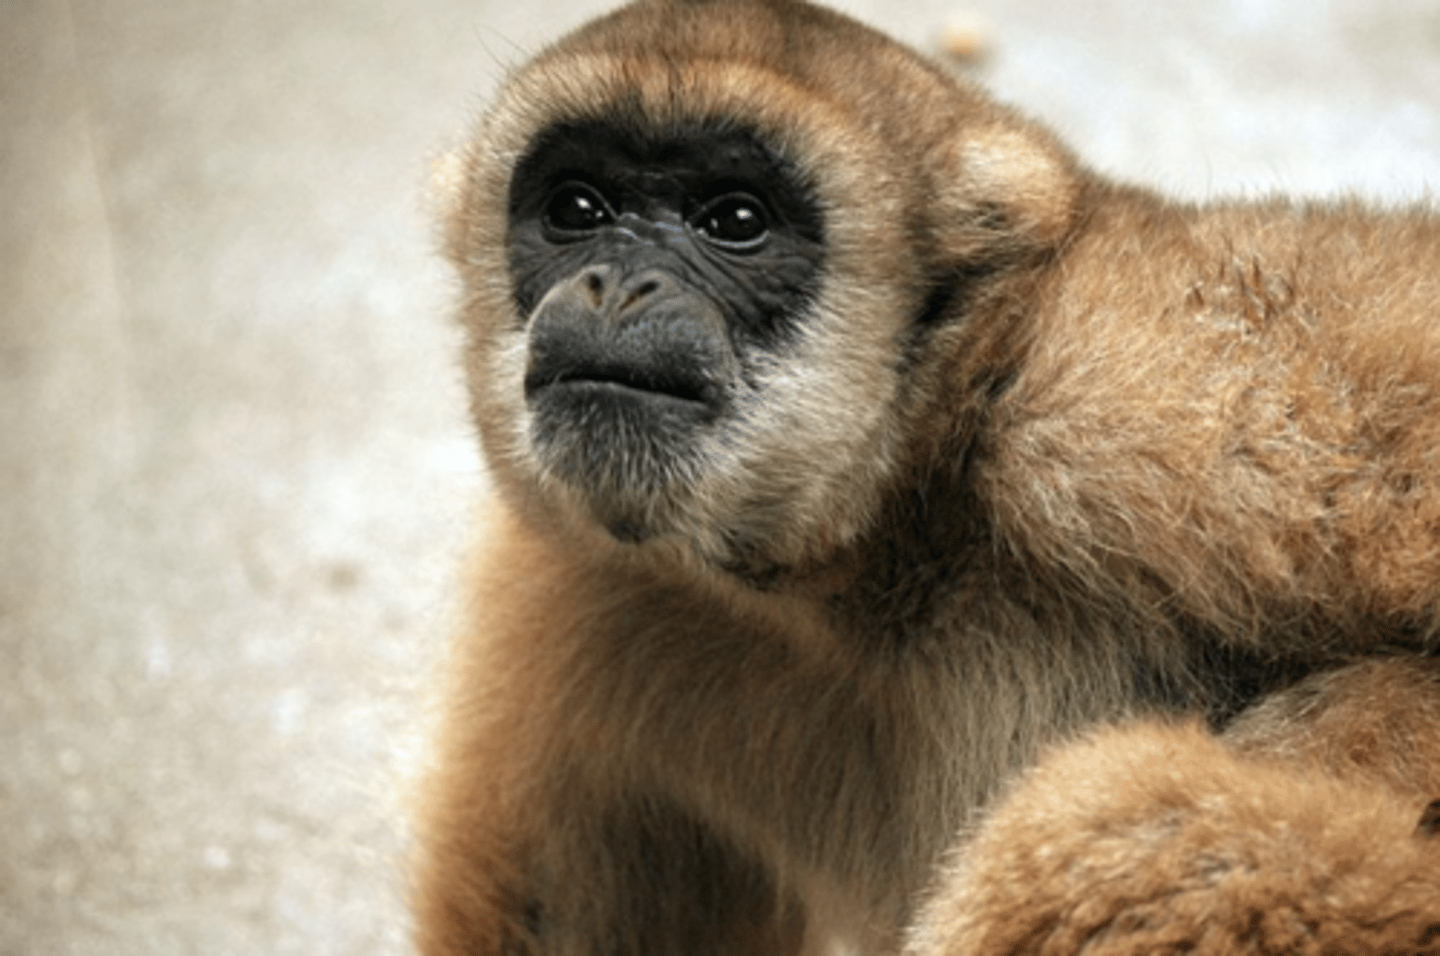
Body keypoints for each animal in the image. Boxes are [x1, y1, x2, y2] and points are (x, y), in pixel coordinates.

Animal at [412, 0, 1440, 953]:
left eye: (734, 222)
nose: (618, 285)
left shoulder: (1131, 374)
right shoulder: (578, 584)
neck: (883, 568)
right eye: (576, 211)